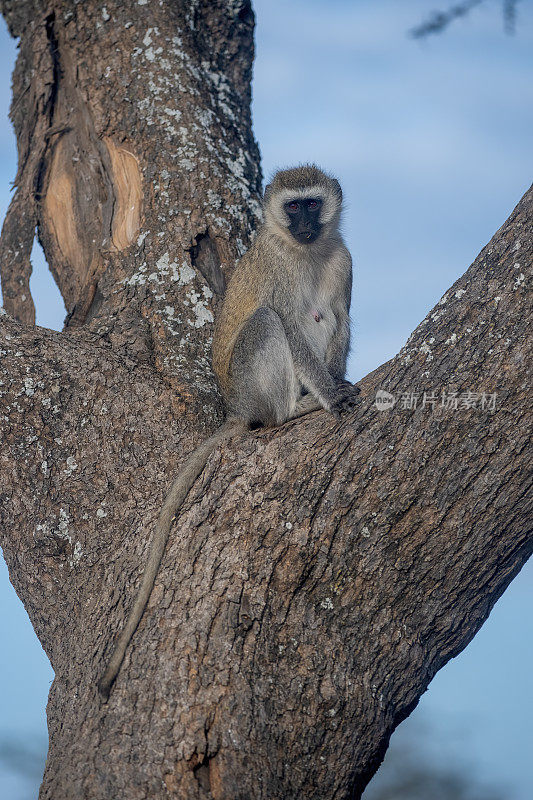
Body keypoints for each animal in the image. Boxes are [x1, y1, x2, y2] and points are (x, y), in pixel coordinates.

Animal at [98, 166, 360, 696]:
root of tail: (237, 408)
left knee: (330, 314)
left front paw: (336, 381)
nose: (304, 224)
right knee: (271, 321)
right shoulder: (277, 270)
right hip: (250, 383)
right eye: (293, 206)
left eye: (312, 204)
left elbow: (340, 316)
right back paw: (292, 410)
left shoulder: (343, 260)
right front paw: (331, 395)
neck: (306, 252)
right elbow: (288, 324)